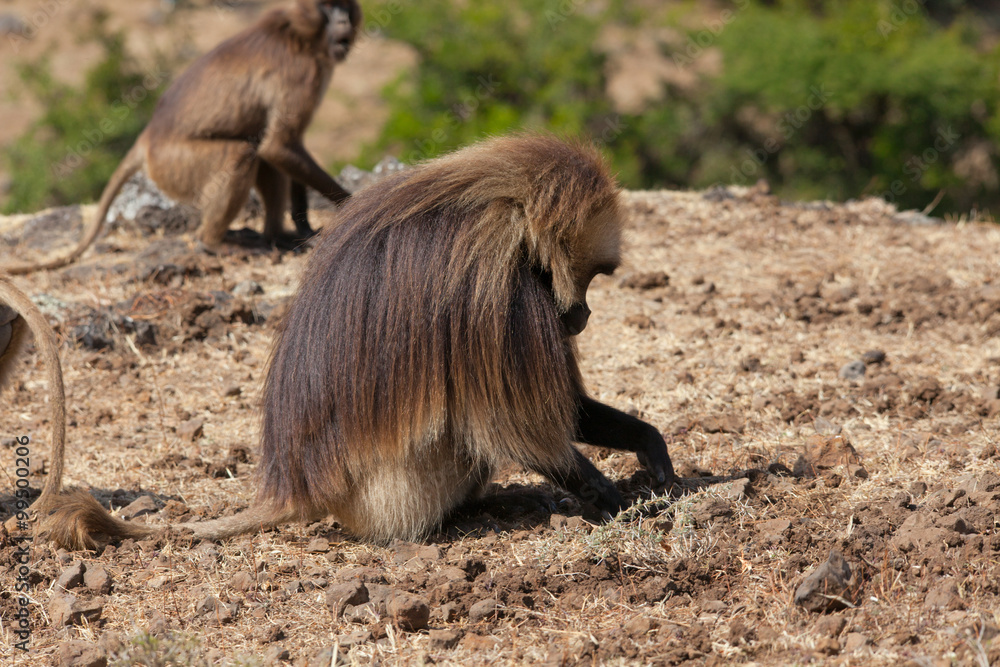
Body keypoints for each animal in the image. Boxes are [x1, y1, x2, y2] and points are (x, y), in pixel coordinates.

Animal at [5, 0, 360, 275]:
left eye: (344, 5)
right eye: (328, 6)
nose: (343, 21)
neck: (300, 31)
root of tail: (148, 136)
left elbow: (283, 147)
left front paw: (305, 226)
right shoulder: (304, 73)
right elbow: (280, 144)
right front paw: (353, 206)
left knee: (258, 148)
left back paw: (275, 236)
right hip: (175, 165)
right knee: (243, 153)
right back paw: (215, 242)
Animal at [38, 135, 675, 550]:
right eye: (590, 277)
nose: (584, 314)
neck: (511, 216)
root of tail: (295, 489)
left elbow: (563, 411)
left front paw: (654, 456)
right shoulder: (495, 288)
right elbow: (517, 424)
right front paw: (622, 502)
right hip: (393, 494)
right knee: (464, 431)